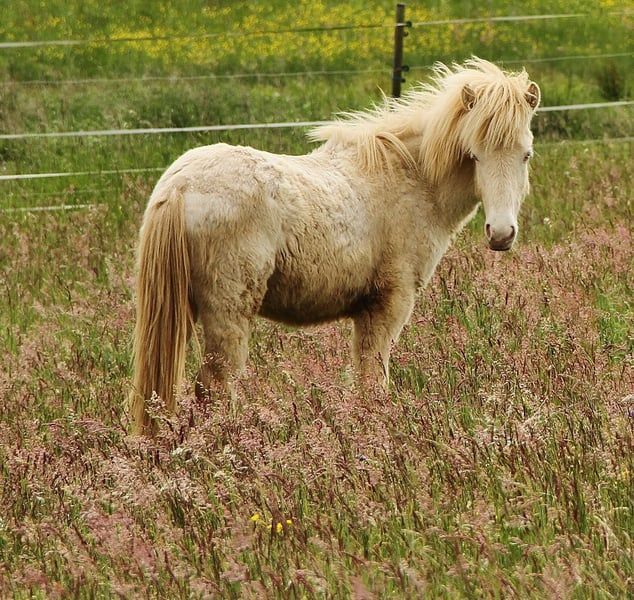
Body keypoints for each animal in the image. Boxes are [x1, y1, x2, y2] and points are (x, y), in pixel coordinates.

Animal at [129, 57, 540, 435]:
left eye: (526, 155)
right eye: (474, 155)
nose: (501, 233)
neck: (410, 178)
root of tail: (180, 187)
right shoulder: (387, 306)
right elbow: (373, 381)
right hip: (228, 314)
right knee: (215, 386)